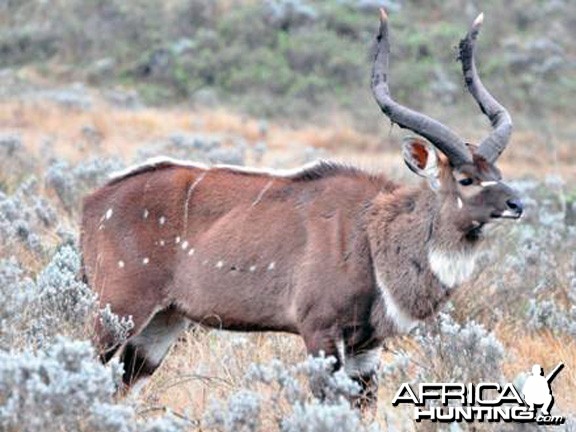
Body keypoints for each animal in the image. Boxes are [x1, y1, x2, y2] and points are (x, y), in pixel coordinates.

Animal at [81, 9, 520, 408]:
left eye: (496, 171)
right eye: (465, 179)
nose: (517, 203)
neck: (373, 234)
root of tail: (93, 201)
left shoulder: (365, 347)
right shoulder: (320, 331)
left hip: (163, 321)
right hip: (117, 311)